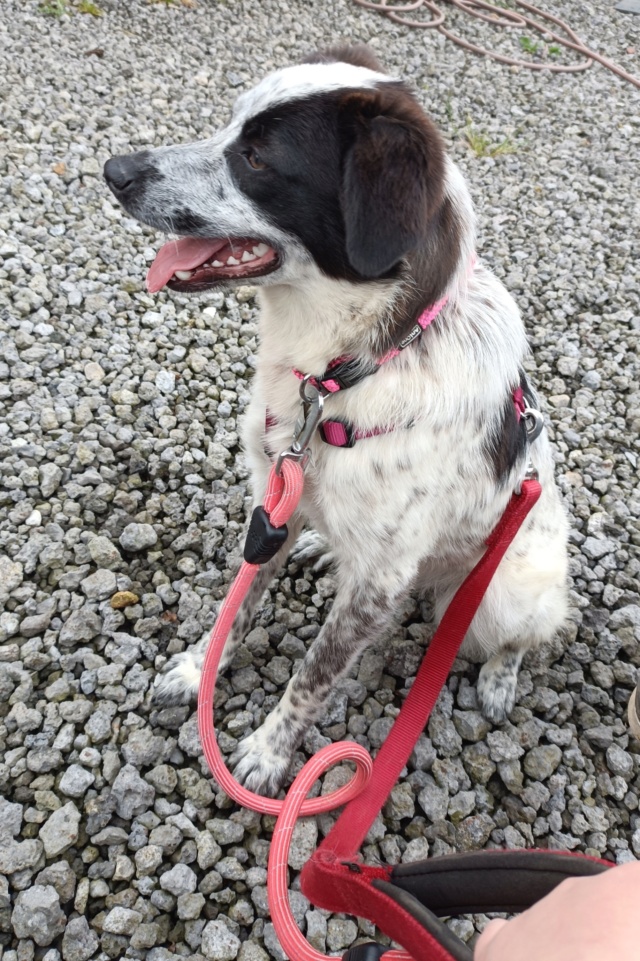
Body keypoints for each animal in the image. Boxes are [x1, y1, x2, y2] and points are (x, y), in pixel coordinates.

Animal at [102, 45, 568, 796]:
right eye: (232, 125)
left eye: (257, 158)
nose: (114, 170)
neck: (338, 376)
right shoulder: (275, 500)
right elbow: (238, 604)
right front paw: (198, 670)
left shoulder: (377, 585)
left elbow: (313, 676)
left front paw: (267, 753)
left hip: (510, 589)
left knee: (523, 636)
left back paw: (499, 679)